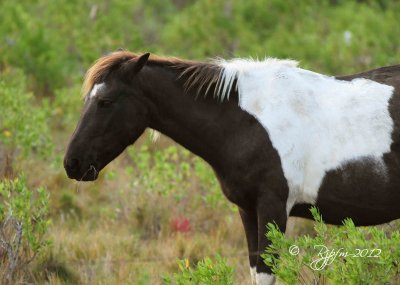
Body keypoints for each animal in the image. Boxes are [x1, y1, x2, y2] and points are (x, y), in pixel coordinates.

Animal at [65, 51, 400, 284]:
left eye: (106, 102)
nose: (72, 163)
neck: (245, 124)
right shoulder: (247, 209)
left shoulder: (273, 207)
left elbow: (266, 272)